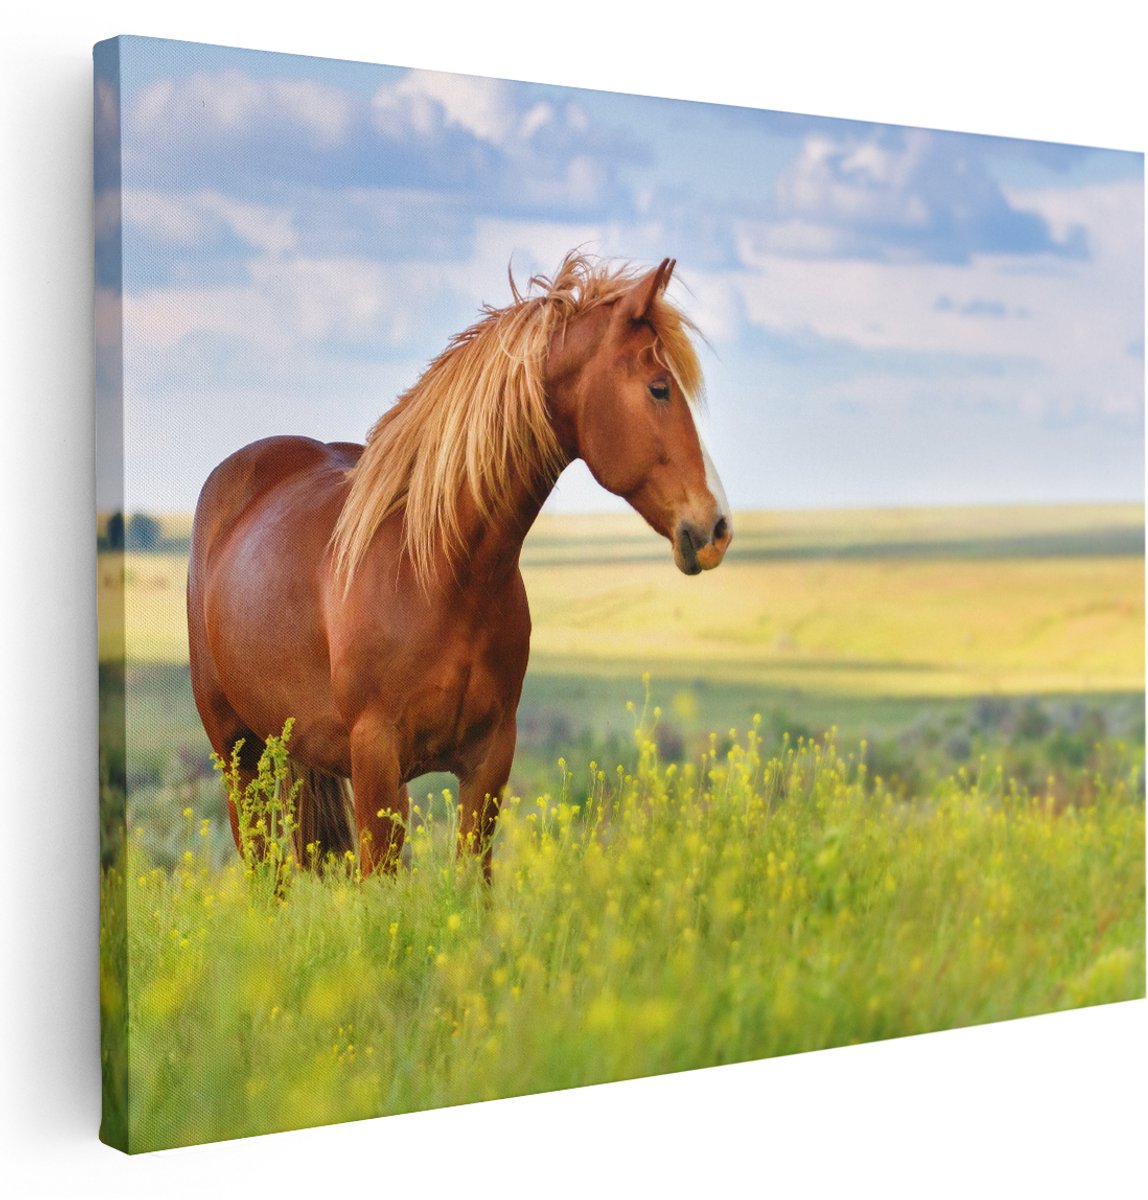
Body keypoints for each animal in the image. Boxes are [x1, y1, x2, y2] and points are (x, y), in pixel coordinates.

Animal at [187, 253, 732, 881]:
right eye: (659, 388)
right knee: (262, 871)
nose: (717, 527)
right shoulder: (376, 761)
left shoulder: (489, 761)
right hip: (239, 756)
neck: (440, 574)